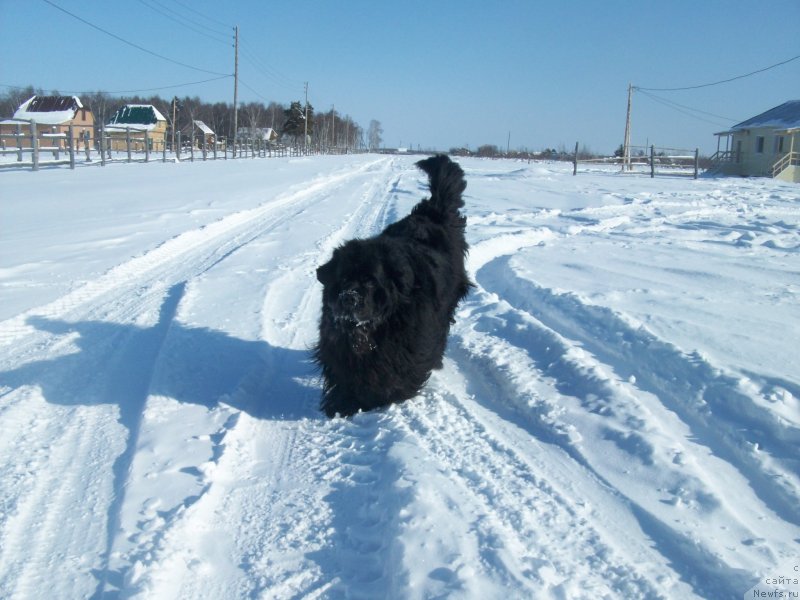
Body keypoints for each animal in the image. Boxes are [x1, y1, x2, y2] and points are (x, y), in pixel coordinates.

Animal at [314, 155, 476, 418]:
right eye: (343, 278)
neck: (367, 330)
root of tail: (433, 211)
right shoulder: (338, 343)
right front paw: (341, 403)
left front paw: (378, 400)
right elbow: (344, 374)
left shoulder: (405, 347)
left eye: (371, 281)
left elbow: (397, 375)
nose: (349, 297)